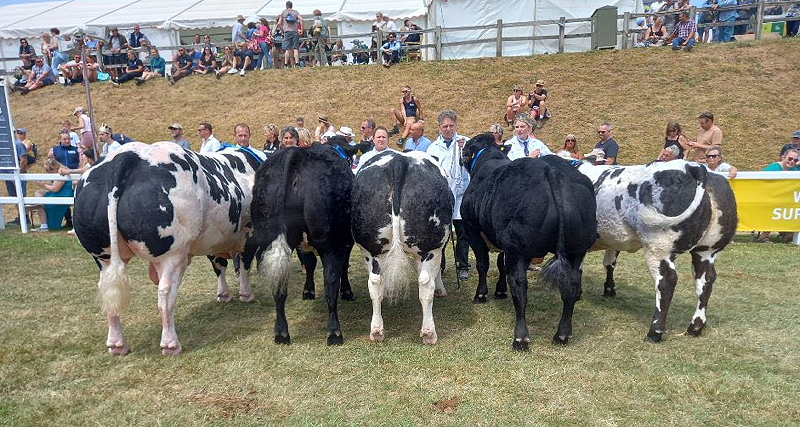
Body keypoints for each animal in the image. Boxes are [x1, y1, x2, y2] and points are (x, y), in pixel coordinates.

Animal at [71, 142, 260, 356]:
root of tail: (124, 157)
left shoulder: (213, 239)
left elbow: (219, 267)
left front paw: (224, 294)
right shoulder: (250, 235)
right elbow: (243, 265)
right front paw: (246, 294)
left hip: (103, 256)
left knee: (108, 293)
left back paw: (117, 345)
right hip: (172, 254)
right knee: (165, 294)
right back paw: (170, 344)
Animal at [248, 145, 352, 346]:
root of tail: (296, 153)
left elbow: (309, 263)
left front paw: (308, 290)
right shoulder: (345, 241)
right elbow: (340, 267)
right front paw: (347, 292)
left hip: (268, 239)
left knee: (279, 286)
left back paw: (281, 333)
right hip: (329, 243)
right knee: (330, 282)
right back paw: (334, 332)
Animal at [352, 150, 454, 344]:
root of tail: (399, 161)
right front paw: (441, 289)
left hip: (370, 248)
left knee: (374, 283)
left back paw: (377, 330)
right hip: (430, 247)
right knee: (425, 285)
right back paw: (429, 333)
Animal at [460, 134, 596, 352]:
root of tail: (552, 170)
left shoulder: (472, 228)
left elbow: (483, 263)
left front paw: (481, 295)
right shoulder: (502, 240)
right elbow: (499, 264)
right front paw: (499, 291)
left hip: (518, 249)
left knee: (520, 287)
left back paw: (520, 338)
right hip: (577, 249)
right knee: (572, 286)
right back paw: (562, 334)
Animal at [580, 160, 740, 344]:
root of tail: (694, 168)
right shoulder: (613, 240)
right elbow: (609, 263)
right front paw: (609, 290)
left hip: (658, 248)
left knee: (666, 281)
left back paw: (654, 332)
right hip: (706, 251)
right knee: (706, 281)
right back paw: (695, 327)